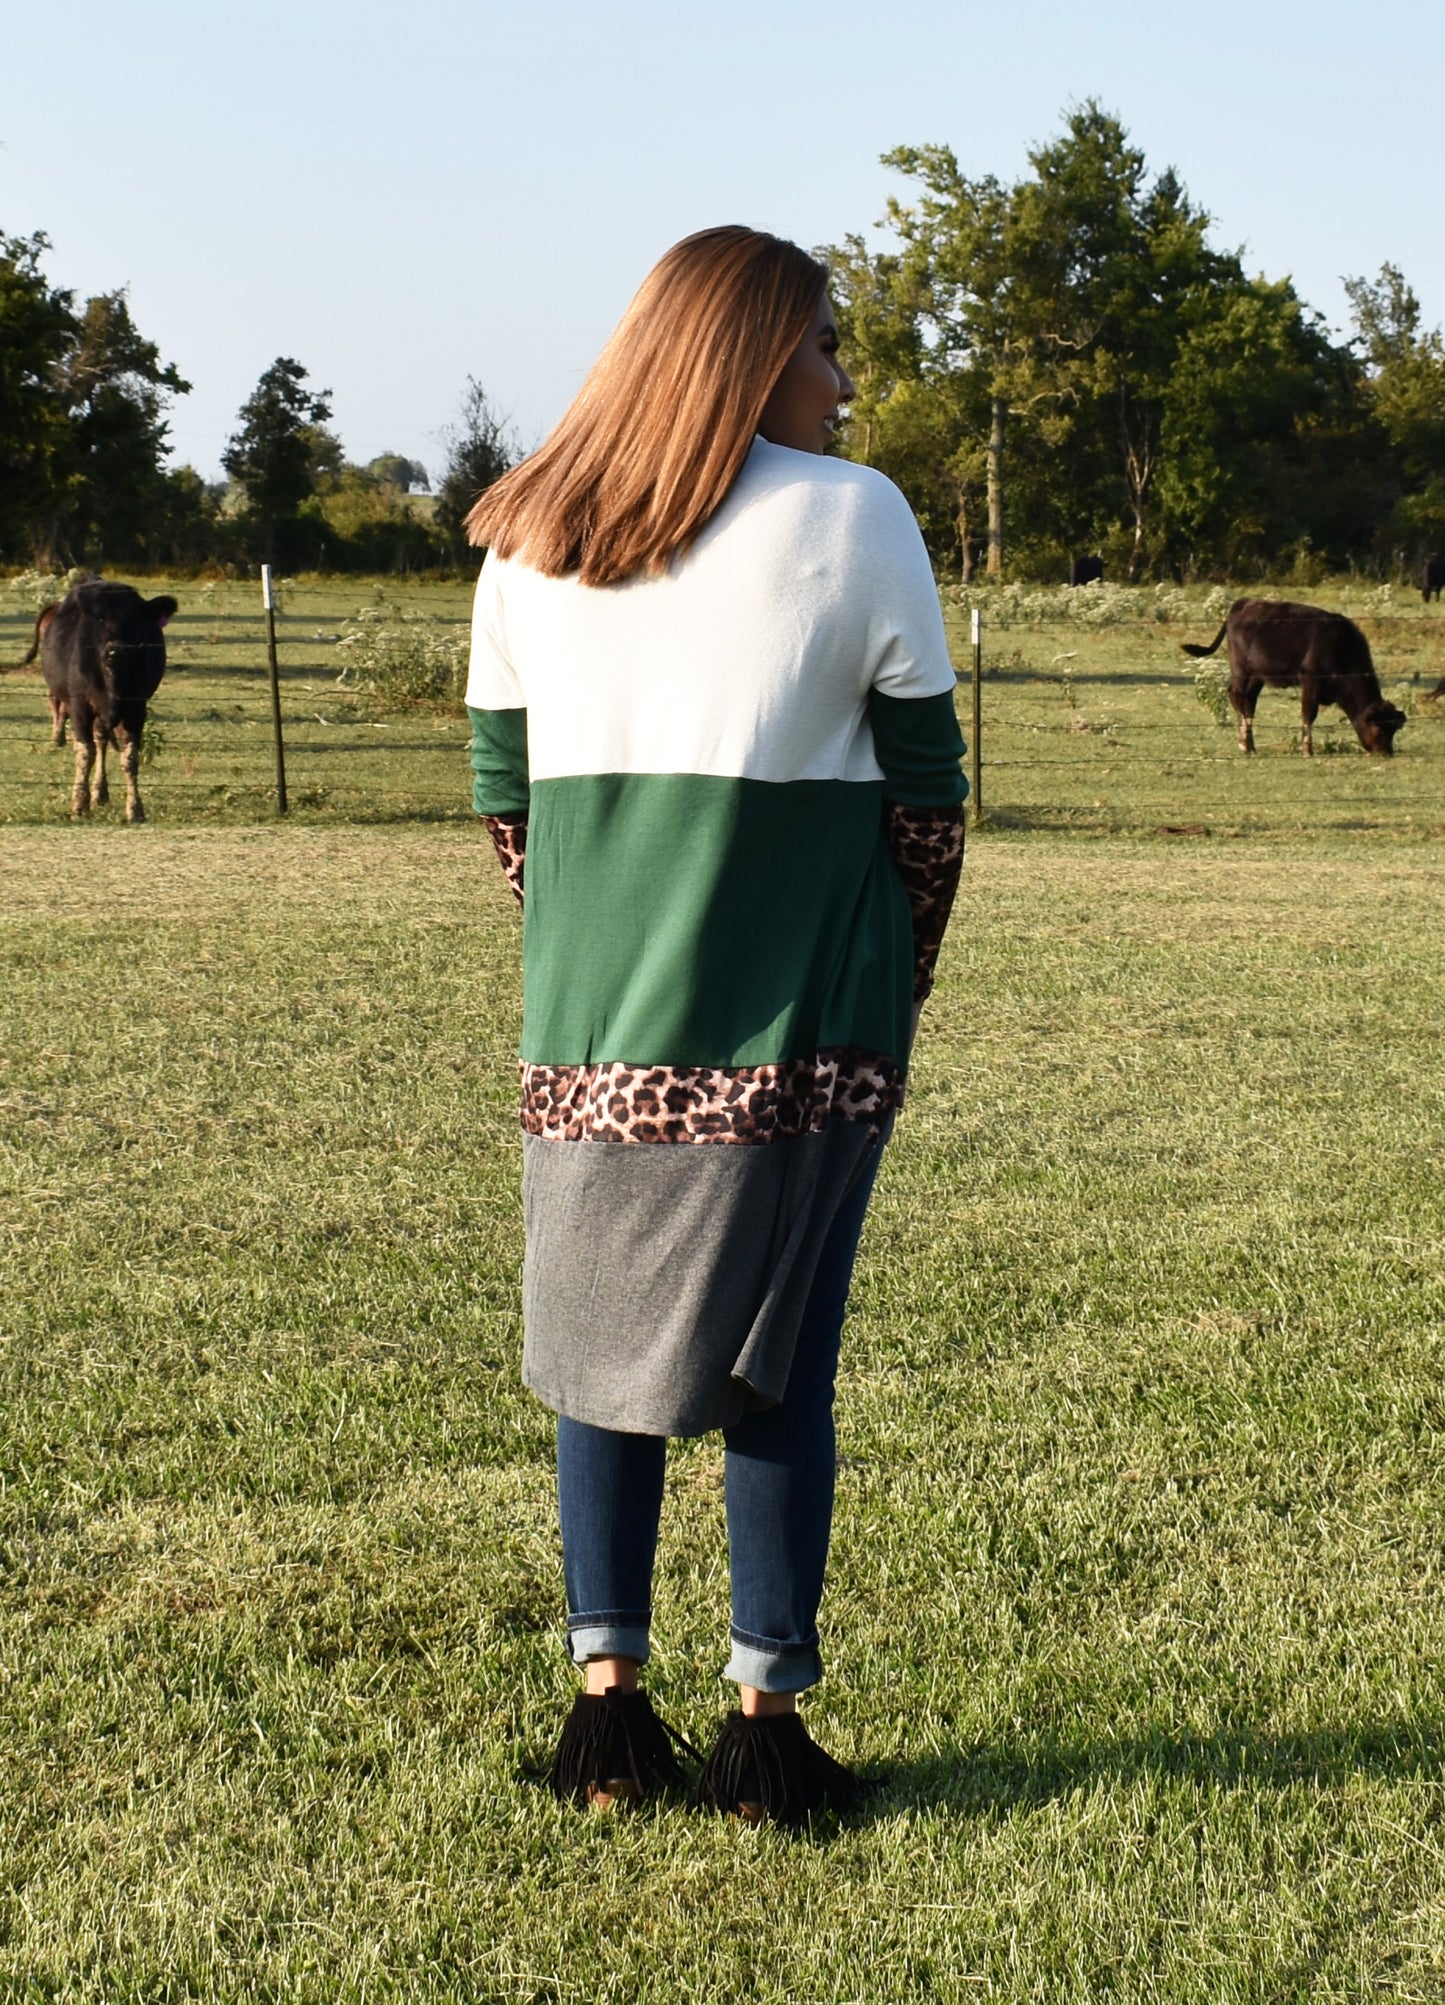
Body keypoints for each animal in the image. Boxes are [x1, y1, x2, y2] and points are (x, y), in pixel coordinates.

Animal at [15, 577, 176, 818]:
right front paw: (79, 804)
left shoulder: (137, 708)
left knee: (101, 741)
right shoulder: (80, 706)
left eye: (135, 619)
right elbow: (85, 752)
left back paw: (100, 792)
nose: (117, 649)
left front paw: (135, 808)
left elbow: (130, 757)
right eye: (101, 618)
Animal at [1178, 593, 1402, 757]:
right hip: (1240, 669)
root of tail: (1243, 603)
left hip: (1258, 674)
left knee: (1249, 701)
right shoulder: (1310, 680)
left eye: (1393, 729)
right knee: (1236, 695)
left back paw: (1251, 746)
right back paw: (1243, 744)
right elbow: (1308, 714)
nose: (1386, 752)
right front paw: (1307, 750)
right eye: (1380, 729)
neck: (1341, 646)